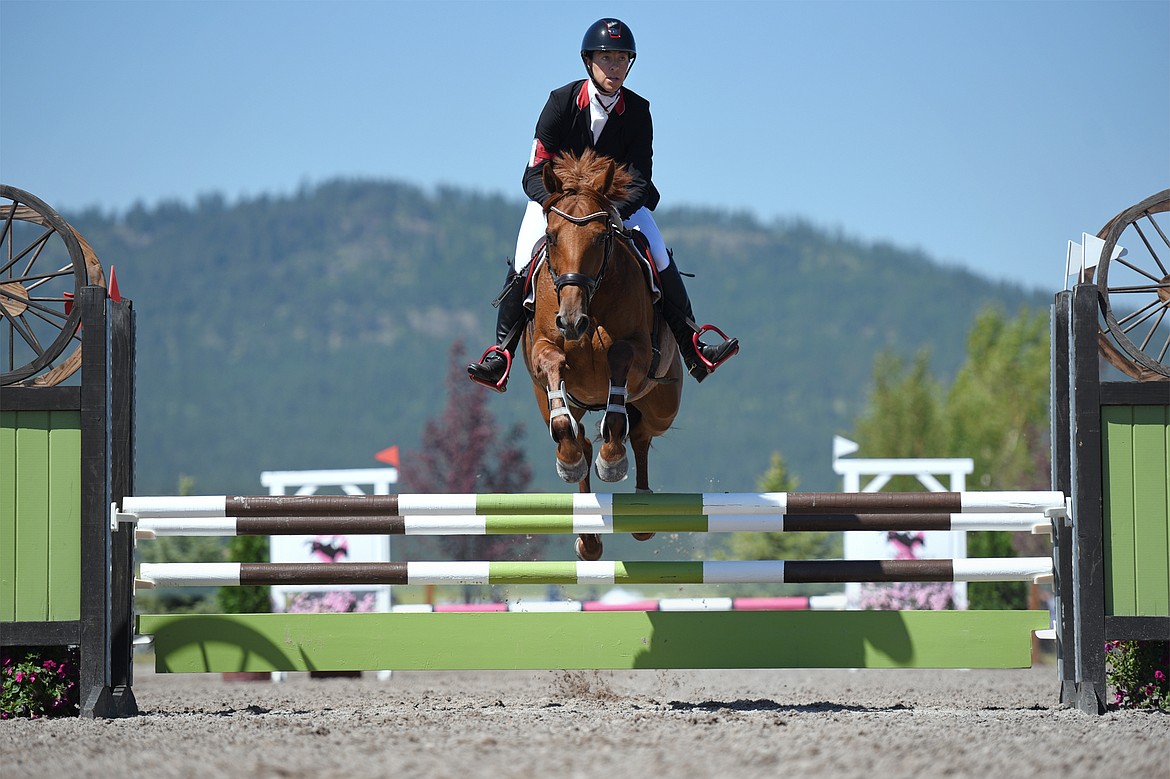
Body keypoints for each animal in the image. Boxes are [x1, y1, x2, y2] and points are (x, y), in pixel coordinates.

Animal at [521, 148, 683, 559]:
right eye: (551, 237)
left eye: (600, 237)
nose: (571, 321)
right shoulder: (545, 348)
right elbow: (554, 365)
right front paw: (570, 462)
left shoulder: (639, 352)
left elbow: (618, 361)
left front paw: (612, 459)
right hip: (548, 400)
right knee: (577, 433)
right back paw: (588, 528)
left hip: (663, 405)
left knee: (640, 433)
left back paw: (639, 506)